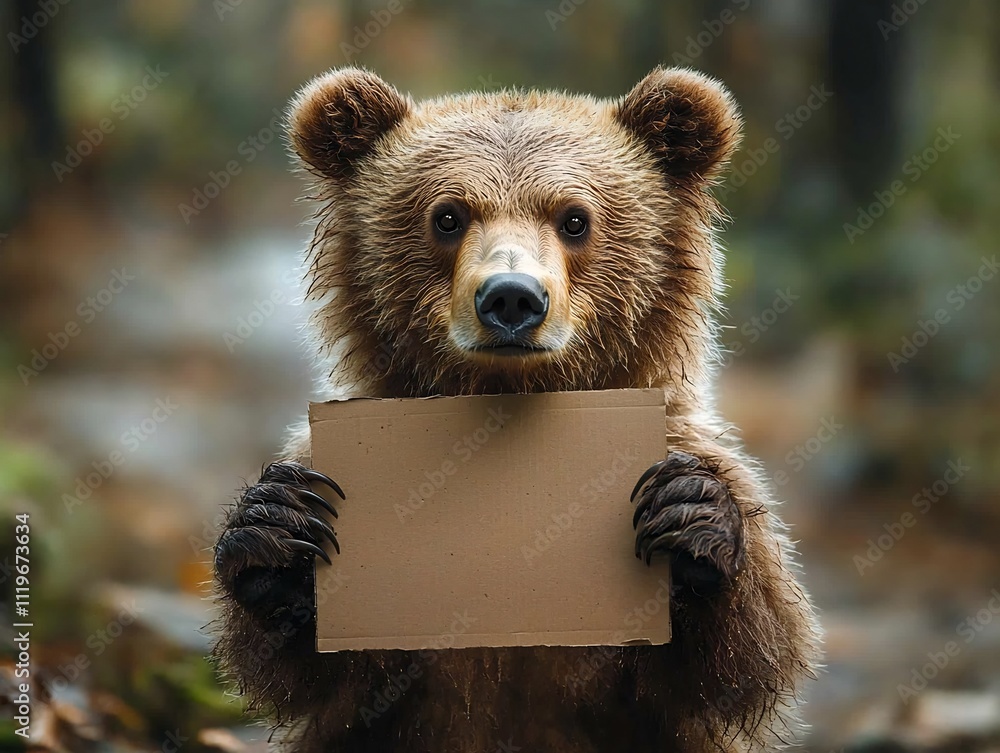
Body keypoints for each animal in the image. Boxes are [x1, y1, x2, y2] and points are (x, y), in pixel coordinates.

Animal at [212, 67, 821, 753]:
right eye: (448, 216)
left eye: (575, 218)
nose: (511, 297)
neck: (509, 402)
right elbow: (312, 675)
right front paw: (278, 532)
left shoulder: (691, 447)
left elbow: (755, 658)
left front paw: (692, 515)